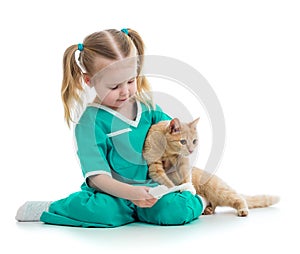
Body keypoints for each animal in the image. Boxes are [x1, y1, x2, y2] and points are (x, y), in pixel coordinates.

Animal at [143, 117, 278, 216]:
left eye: (194, 141)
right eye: (183, 141)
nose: (191, 150)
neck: (167, 150)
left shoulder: (183, 161)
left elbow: (186, 177)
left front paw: (189, 188)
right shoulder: (155, 168)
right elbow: (168, 183)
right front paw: (178, 188)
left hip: (219, 191)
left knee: (238, 198)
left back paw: (242, 210)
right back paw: (207, 209)